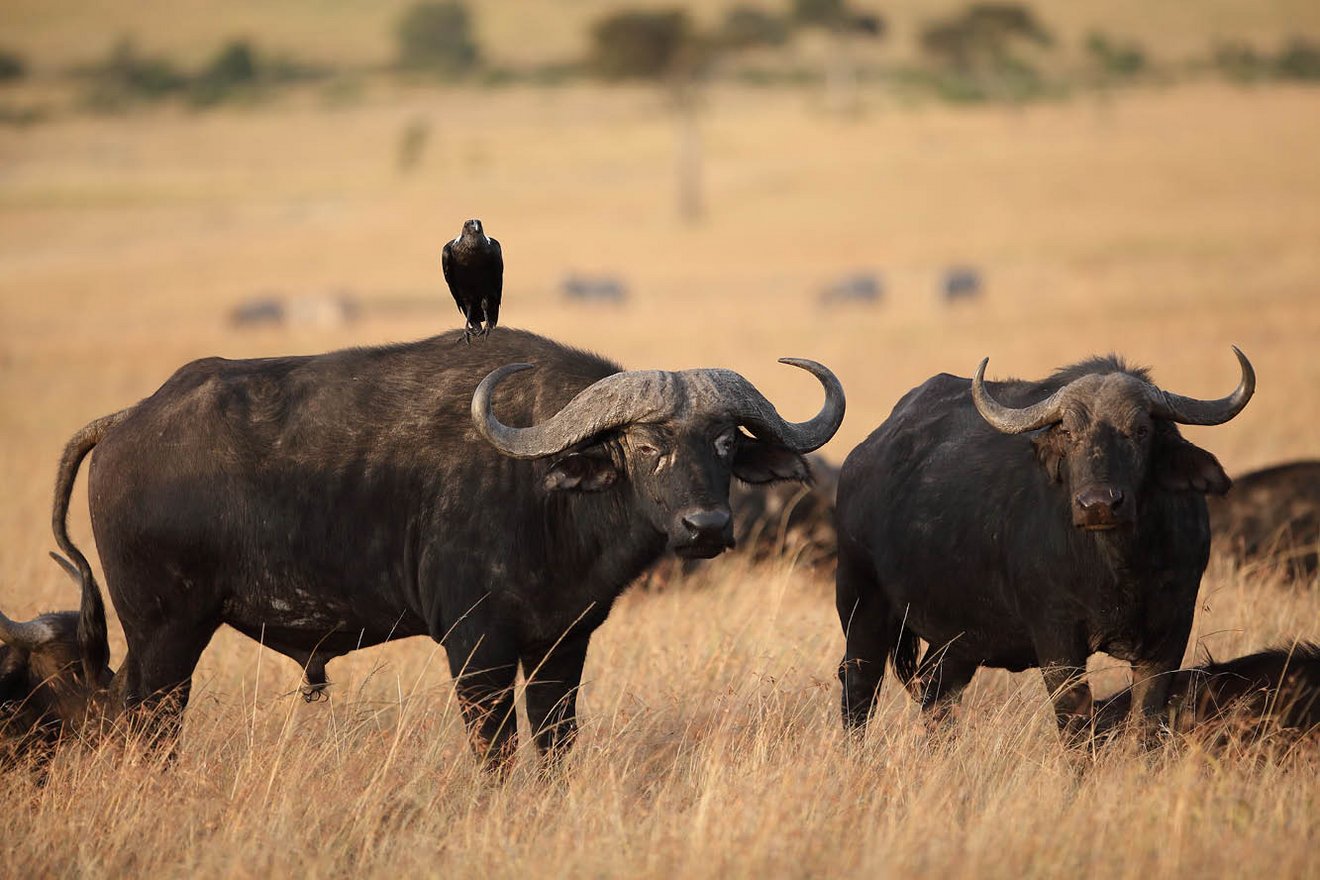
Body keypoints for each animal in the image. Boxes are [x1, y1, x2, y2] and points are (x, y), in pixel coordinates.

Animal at [28, 327, 844, 765]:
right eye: (645, 445)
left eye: (725, 442)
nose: (707, 527)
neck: (542, 494)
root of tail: (128, 419)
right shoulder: (475, 646)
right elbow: (496, 748)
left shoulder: (563, 644)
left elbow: (554, 742)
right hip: (166, 633)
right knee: (147, 722)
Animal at [839, 348, 1251, 738]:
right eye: (1068, 432)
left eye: (1140, 430)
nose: (1099, 504)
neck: (1118, 569)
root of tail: (862, 457)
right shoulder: (1057, 640)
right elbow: (1075, 722)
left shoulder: (1170, 633)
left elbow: (1147, 721)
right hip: (862, 603)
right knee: (859, 684)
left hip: (957, 638)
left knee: (937, 693)